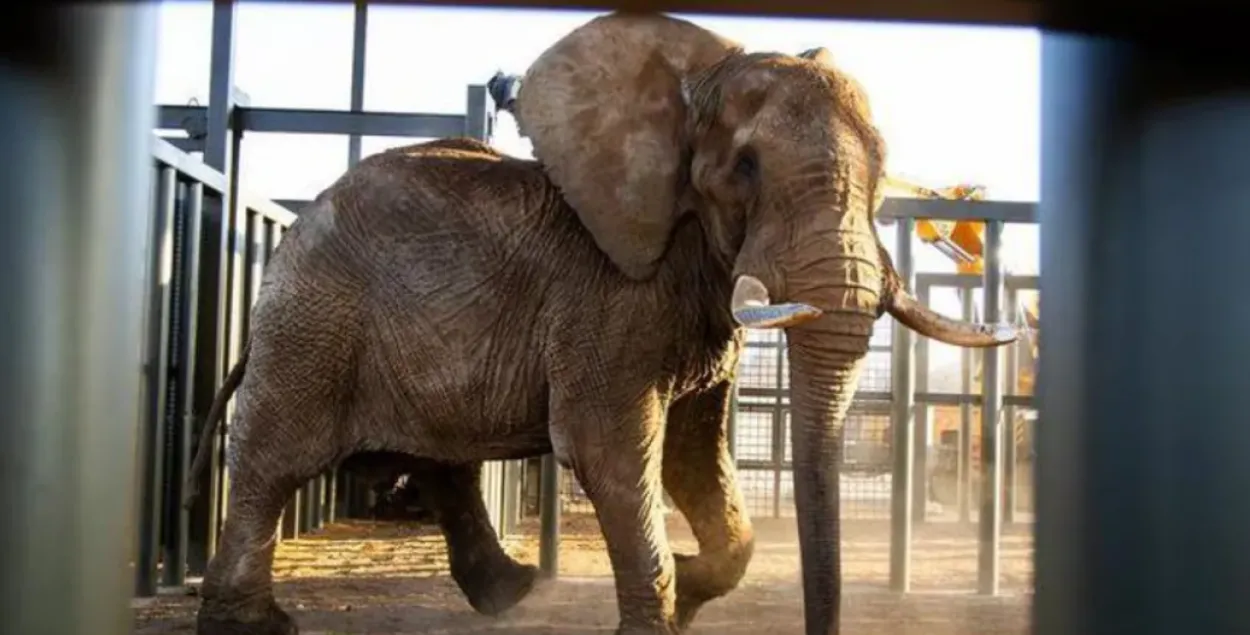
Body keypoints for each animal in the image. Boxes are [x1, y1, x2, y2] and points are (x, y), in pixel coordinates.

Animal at [181, 11, 1016, 635]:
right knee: (273, 461)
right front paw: (666, 602)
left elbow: (691, 450)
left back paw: (510, 591)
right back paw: (253, 625)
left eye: (881, 170)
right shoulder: (607, 294)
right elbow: (609, 447)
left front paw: (688, 586)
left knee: (442, 460)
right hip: (314, 320)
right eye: (744, 168)